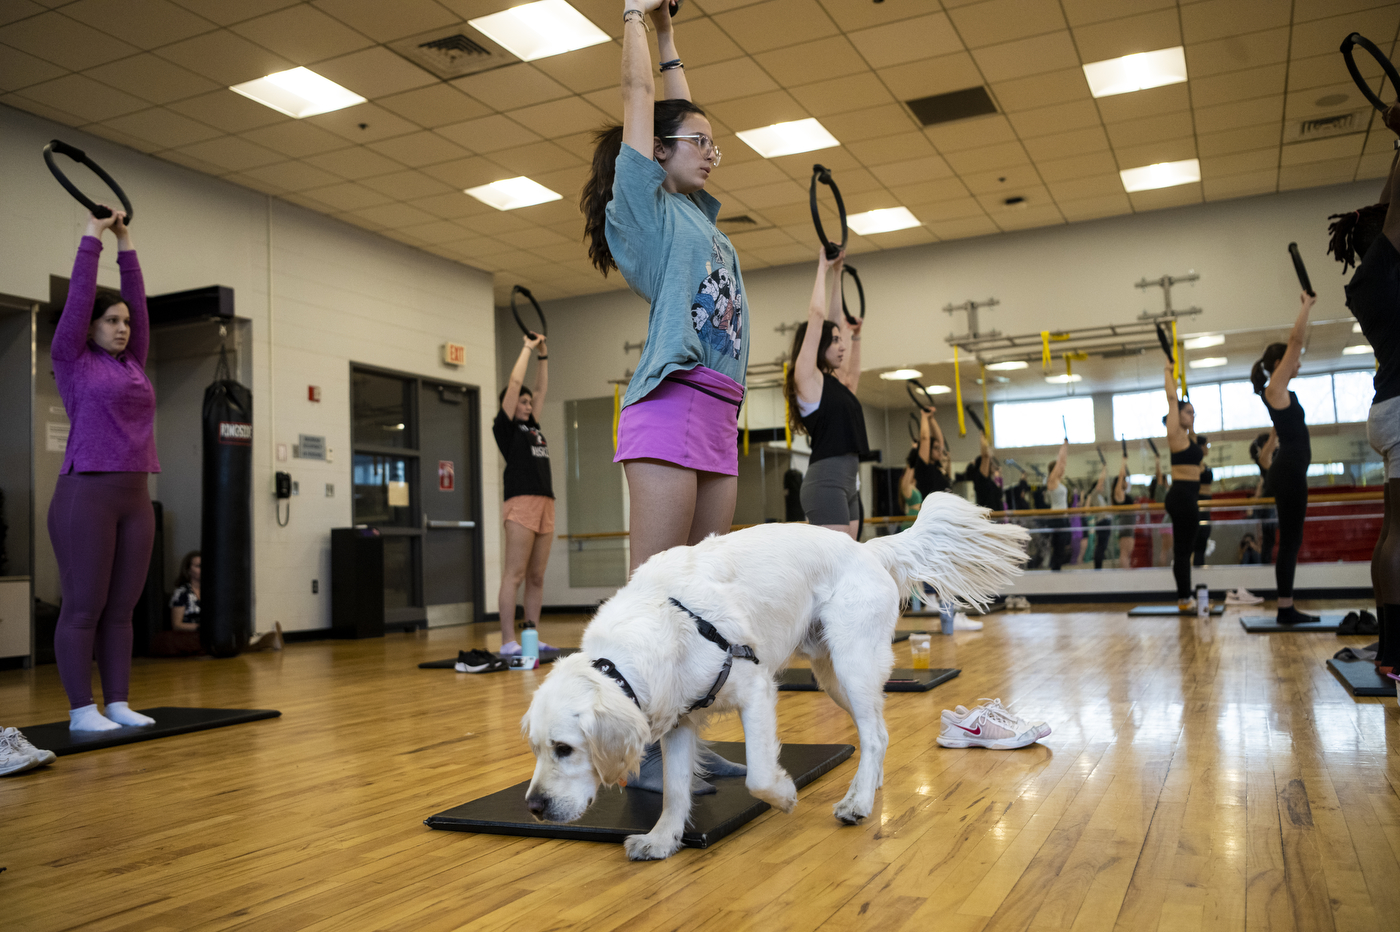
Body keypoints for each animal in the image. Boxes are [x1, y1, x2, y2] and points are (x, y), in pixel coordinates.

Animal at [520, 489, 1024, 862]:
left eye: (564, 749)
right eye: (537, 749)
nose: (534, 807)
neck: (666, 624)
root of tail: (866, 549)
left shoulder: (755, 691)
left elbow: (758, 775)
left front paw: (783, 795)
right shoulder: (679, 720)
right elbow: (675, 790)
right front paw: (662, 839)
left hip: (853, 664)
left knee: (875, 733)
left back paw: (857, 802)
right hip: (832, 676)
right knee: (876, 732)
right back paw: (868, 784)